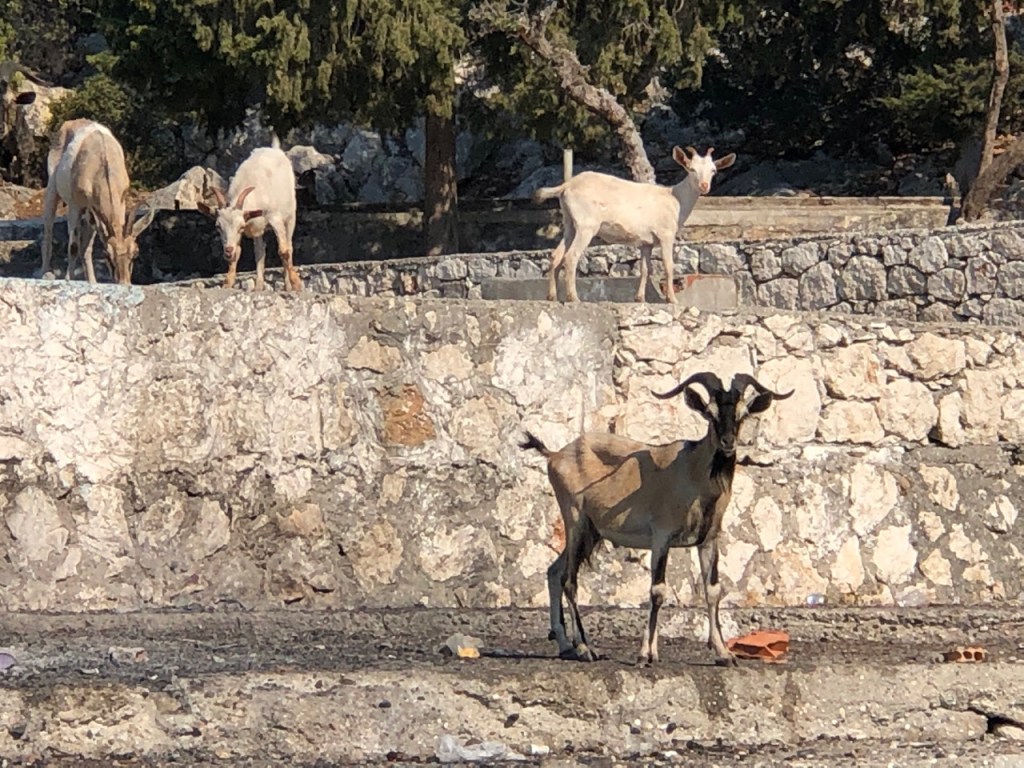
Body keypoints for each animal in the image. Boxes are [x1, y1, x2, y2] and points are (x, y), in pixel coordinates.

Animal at [40, 119, 156, 284]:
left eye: (135, 254)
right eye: (107, 255)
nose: (123, 283)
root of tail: (71, 122)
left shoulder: (116, 205)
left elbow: (84, 247)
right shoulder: (75, 207)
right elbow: (73, 247)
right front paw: (69, 280)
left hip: (91, 217)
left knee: (86, 248)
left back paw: (92, 282)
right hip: (52, 192)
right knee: (48, 235)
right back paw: (45, 273)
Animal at [198, 139, 302, 291]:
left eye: (241, 226)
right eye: (218, 226)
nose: (227, 250)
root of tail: (275, 149)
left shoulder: (275, 218)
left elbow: (284, 251)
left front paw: (296, 283)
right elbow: (240, 253)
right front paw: (228, 282)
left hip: (290, 217)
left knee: (289, 246)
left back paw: (288, 285)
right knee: (260, 252)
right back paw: (258, 286)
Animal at [520, 371, 791, 666]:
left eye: (742, 414)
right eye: (710, 413)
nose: (728, 443)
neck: (693, 473)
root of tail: (555, 455)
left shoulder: (708, 540)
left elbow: (712, 590)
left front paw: (723, 654)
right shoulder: (661, 537)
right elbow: (658, 591)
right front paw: (645, 654)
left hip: (590, 533)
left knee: (554, 571)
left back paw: (566, 646)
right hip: (575, 520)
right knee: (569, 580)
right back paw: (584, 649)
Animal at [532, 146, 735, 304]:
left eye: (713, 171)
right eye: (691, 169)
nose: (704, 186)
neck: (676, 200)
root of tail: (567, 186)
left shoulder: (646, 242)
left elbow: (645, 269)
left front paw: (640, 298)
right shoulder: (666, 234)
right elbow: (668, 265)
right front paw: (672, 299)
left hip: (570, 223)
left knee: (556, 255)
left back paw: (552, 296)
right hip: (586, 225)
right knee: (571, 255)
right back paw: (573, 297)